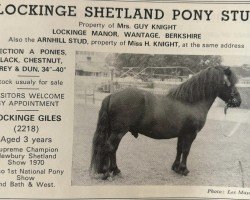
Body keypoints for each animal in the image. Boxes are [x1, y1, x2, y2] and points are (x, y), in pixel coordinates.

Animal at [90, 66, 240, 180]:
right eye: (230, 83)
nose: (238, 101)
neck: (191, 102)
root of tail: (112, 95)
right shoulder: (191, 134)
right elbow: (186, 150)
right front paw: (184, 170)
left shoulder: (182, 134)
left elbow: (179, 149)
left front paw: (176, 168)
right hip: (119, 132)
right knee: (110, 147)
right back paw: (108, 173)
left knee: (112, 149)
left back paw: (114, 170)